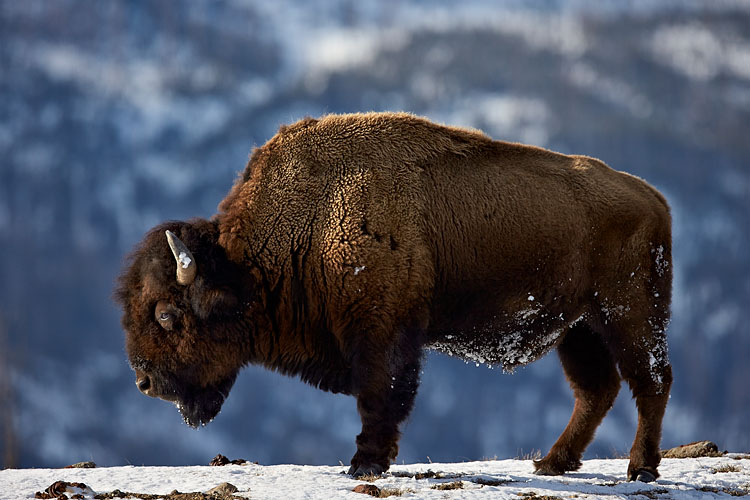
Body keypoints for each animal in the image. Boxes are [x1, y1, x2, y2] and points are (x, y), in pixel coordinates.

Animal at [116, 112, 672, 482]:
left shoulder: (381, 332)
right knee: (596, 390)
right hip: (578, 328)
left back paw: (640, 470)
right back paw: (552, 463)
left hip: (630, 316)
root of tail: (653, 197)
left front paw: (364, 464)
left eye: (166, 314)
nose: (144, 383)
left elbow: (379, 395)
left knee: (650, 382)